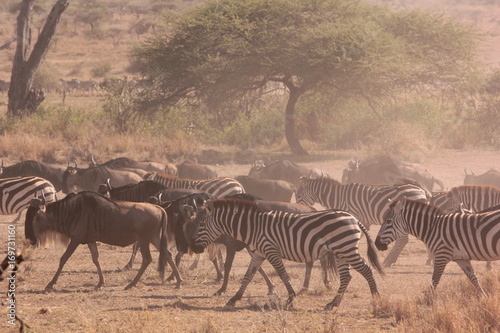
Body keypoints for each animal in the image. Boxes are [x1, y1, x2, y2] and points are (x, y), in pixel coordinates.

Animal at [183, 197, 382, 308]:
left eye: (201, 224)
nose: (193, 247)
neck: (253, 227)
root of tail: (353, 217)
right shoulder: (258, 254)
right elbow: (248, 276)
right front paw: (234, 298)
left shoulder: (271, 251)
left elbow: (283, 274)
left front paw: (291, 298)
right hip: (341, 252)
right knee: (347, 276)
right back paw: (333, 303)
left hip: (346, 249)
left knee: (366, 270)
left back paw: (376, 298)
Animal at [294, 176, 428, 268]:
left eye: (299, 196)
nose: (298, 210)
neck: (338, 196)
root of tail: (420, 189)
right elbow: (360, 234)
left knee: (402, 240)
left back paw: (389, 261)